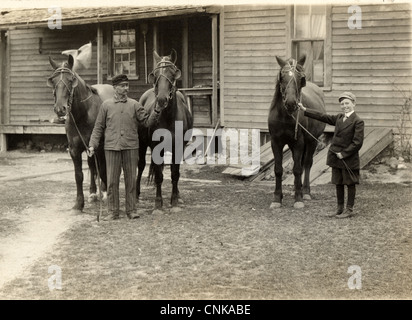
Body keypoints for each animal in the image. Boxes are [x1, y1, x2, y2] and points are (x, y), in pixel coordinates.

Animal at [47, 54, 113, 210]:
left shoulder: (99, 147)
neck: (83, 114)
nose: (60, 109)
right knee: (92, 166)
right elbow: (79, 175)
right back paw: (93, 192)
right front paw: (79, 203)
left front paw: (106, 194)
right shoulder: (75, 150)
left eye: (71, 80)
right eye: (53, 81)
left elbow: (103, 169)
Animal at [135, 50, 193, 210]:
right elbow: (159, 175)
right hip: (142, 145)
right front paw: (158, 202)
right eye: (155, 74)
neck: (168, 117)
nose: (161, 99)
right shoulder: (156, 147)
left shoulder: (178, 147)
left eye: (173, 73)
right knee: (141, 166)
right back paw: (136, 193)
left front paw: (174, 199)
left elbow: (175, 174)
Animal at [268, 56, 328, 209]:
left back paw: (305, 191)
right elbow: (278, 170)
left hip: (311, 141)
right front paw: (277, 198)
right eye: (282, 76)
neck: (285, 115)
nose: (291, 103)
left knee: (306, 164)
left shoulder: (299, 142)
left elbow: (297, 169)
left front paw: (298, 198)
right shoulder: (276, 142)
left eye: (301, 78)